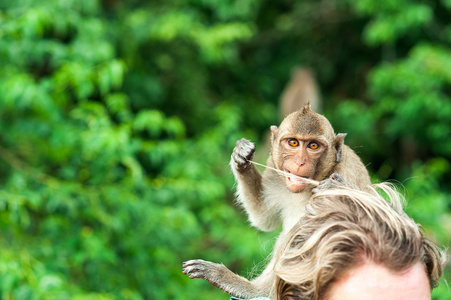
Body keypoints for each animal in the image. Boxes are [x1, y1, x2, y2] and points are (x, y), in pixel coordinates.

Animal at [182, 104, 372, 298]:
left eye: (313, 145)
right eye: (293, 142)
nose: (300, 162)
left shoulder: (344, 172)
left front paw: (338, 188)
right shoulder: (274, 170)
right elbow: (264, 218)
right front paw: (241, 159)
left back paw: (247, 288)